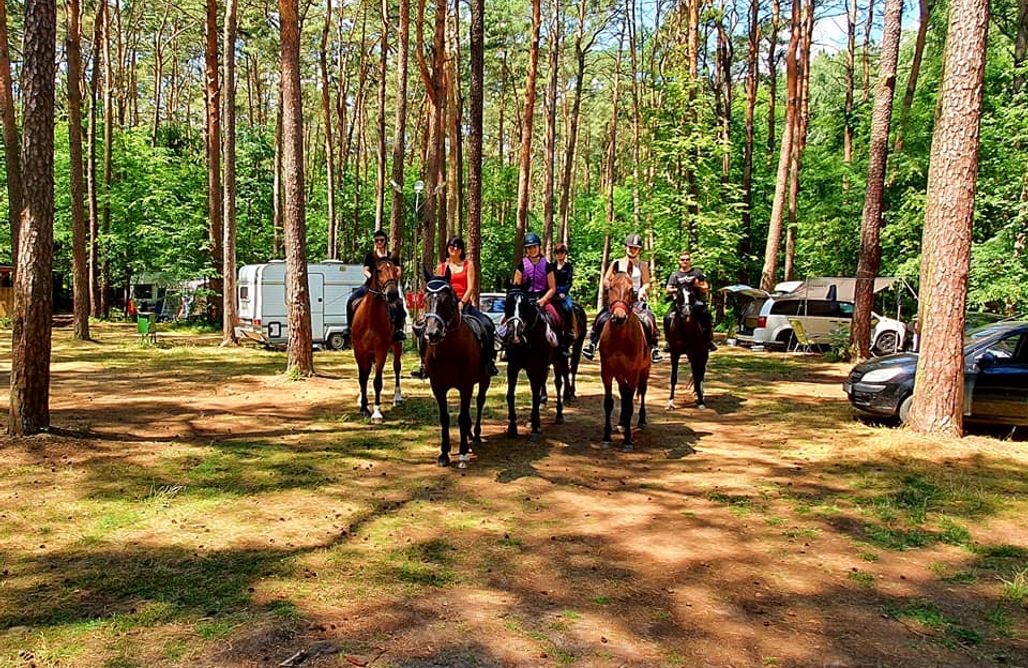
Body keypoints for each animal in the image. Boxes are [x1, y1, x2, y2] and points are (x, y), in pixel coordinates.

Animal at [351, 254, 402, 421]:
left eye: (395, 270)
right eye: (378, 271)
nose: (392, 294)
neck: (371, 318)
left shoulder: (381, 350)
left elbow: (377, 381)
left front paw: (377, 412)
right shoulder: (359, 350)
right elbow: (363, 377)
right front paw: (363, 407)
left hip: (397, 344)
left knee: (397, 367)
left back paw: (397, 397)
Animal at [421, 267, 493, 466]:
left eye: (448, 300)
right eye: (425, 299)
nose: (433, 333)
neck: (449, 351)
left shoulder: (466, 386)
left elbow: (462, 417)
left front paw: (462, 453)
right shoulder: (438, 387)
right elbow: (445, 418)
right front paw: (444, 454)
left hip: (484, 380)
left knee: (479, 402)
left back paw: (475, 435)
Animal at [499, 285, 563, 437]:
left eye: (525, 305)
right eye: (507, 304)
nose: (514, 332)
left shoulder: (537, 366)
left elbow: (535, 394)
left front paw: (535, 425)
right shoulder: (513, 366)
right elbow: (510, 394)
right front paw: (512, 426)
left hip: (556, 361)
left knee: (558, 383)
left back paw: (558, 415)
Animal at [596, 269, 649, 448]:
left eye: (631, 289)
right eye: (611, 287)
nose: (619, 317)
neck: (620, 339)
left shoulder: (633, 373)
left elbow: (630, 403)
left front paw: (627, 440)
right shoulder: (607, 372)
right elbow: (609, 403)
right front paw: (606, 436)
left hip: (645, 370)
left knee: (641, 392)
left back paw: (641, 420)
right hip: (619, 373)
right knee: (623, 393)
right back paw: (621, 423)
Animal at [662, 279, 711, 409]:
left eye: (692, 294)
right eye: (679, 295)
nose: (686, 312)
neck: (684, 329)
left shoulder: (694, 353)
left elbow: (697, 375)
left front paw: (701, 401)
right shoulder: (674, 354)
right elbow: (673, 378)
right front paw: (670, 402)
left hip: (703, 353)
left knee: (700, 373)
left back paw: (700, 395)